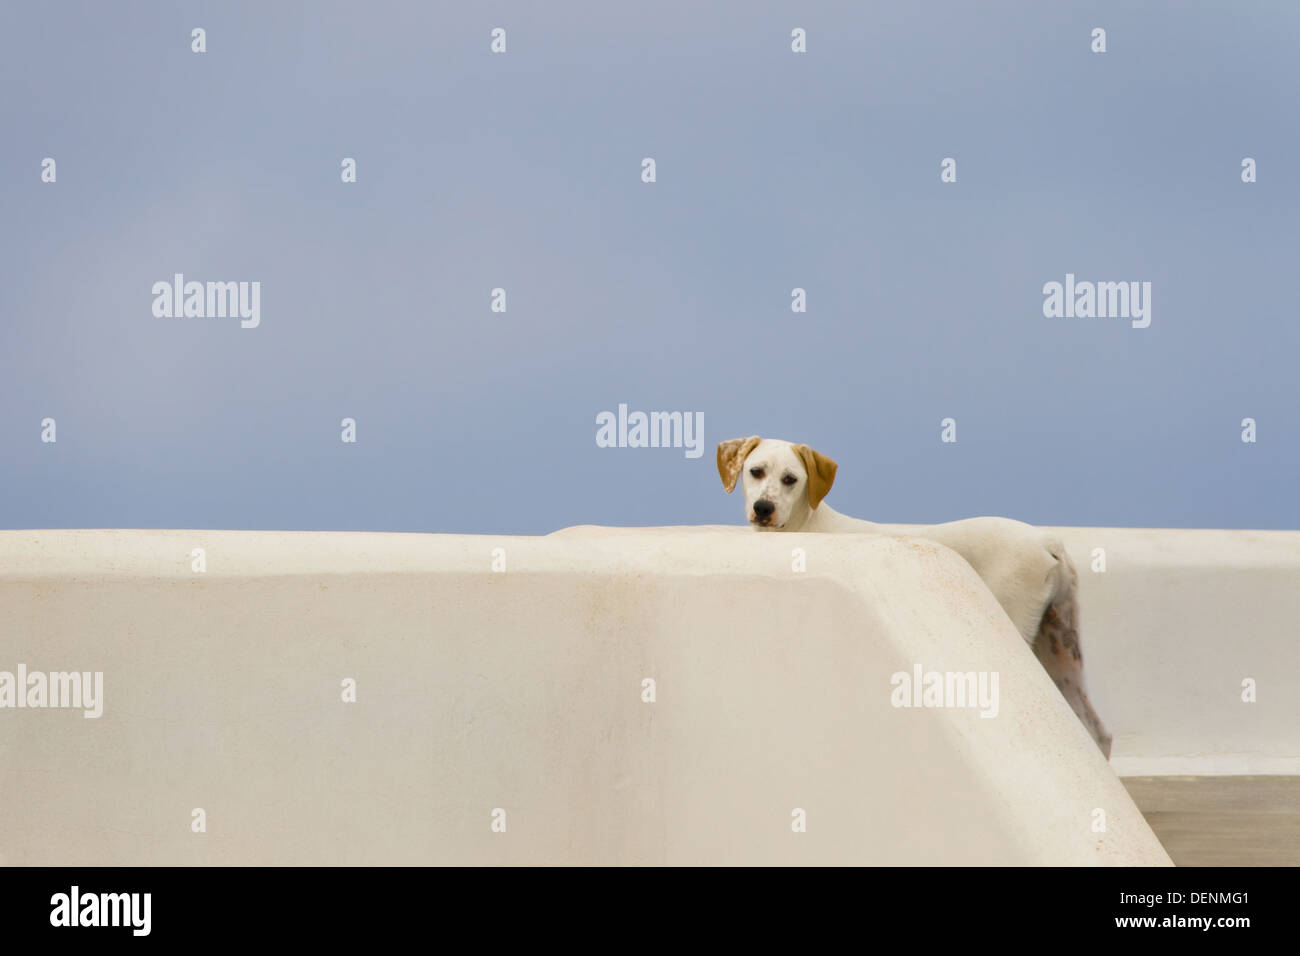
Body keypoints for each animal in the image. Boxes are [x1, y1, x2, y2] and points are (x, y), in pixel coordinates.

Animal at [717, 437, 1112, 759]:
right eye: (755, 471)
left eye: (791, 479)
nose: (764, 508)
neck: (807, 524)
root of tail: (1048, 541)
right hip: (1061, 647)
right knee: (1097, 732)